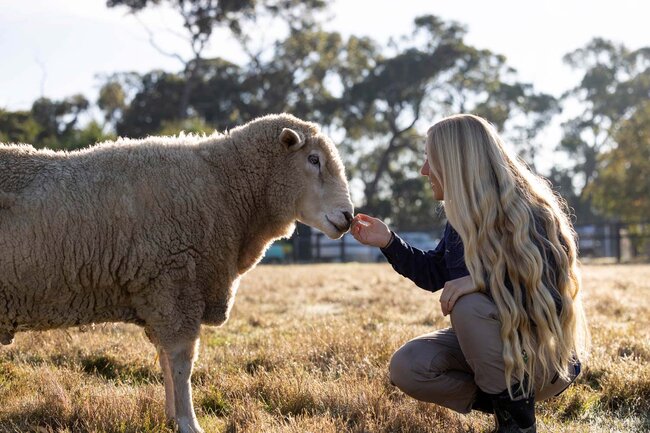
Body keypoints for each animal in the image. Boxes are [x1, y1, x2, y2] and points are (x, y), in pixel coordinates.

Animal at [1, 114, 354, 432]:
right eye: (313, 159)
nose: (349, 217)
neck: (226, 188)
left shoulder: (161, 298)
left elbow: (165, 360)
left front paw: (171, 418)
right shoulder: (176, 287)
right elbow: (182, 362)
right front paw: (188, 422)